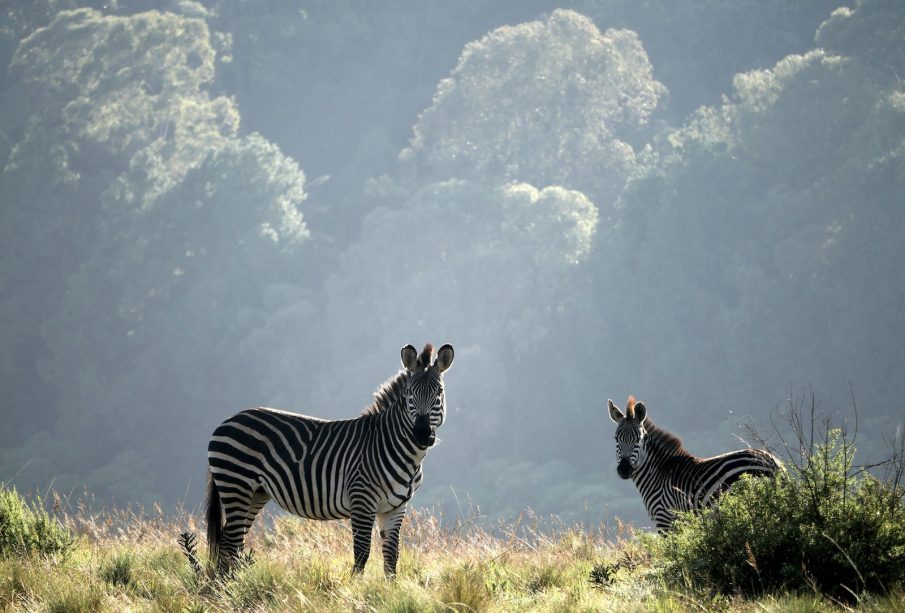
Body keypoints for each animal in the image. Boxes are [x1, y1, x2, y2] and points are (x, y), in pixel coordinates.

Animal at [208, 342, 456, 576]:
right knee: (230, 541)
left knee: (231, 541)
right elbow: (362, 553)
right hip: (236, 485)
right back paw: (228, 587)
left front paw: (390, 589)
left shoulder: (395, 508)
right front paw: (355, 589)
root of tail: (228, 420)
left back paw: (227, 585)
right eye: (409, 394)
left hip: (255, 493)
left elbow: (391, 555)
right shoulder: (362, 501)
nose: (422, 434)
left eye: (439, 392)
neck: (402, 452)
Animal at [604, 394, 780, 528]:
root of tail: (772, 461)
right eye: (616, 439)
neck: (658, 474)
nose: (624, 469)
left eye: (638, 439)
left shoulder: (665, 519)